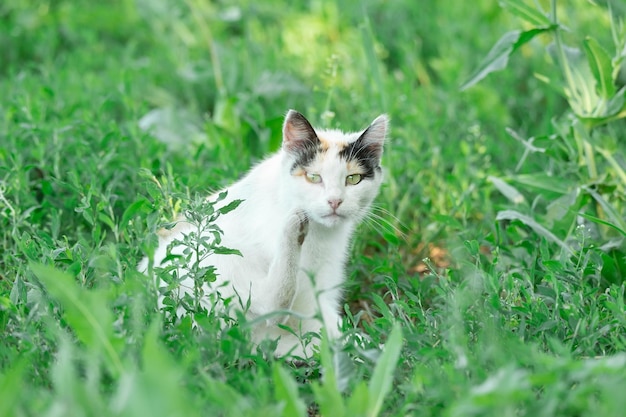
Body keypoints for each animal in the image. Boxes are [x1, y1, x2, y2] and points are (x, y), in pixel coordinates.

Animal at [139, 109, 388, 356]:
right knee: (268, 303)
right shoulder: (307, 291)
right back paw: (294, 227)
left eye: (353, 179)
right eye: (313, 177)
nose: (335, 201)